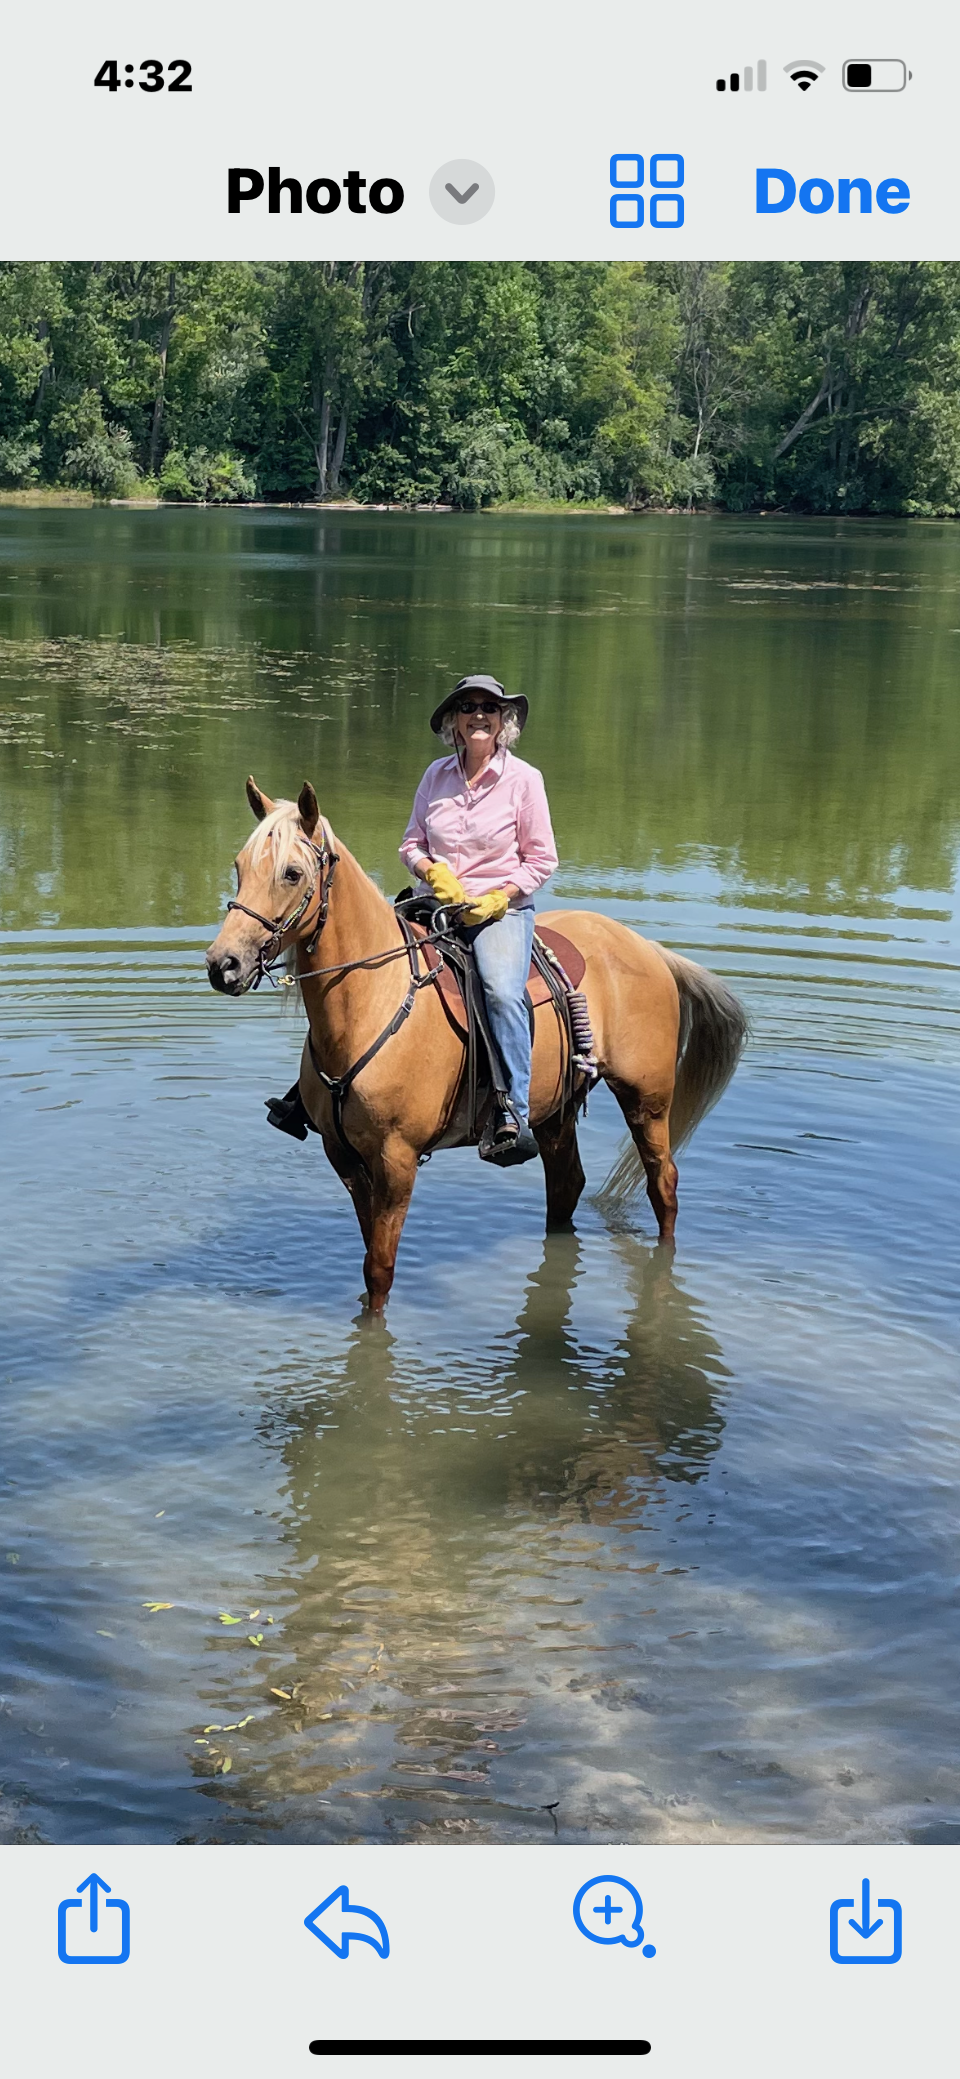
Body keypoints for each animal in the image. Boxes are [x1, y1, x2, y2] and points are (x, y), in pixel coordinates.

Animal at [206, 778, 748, 1313]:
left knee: (664, 1185)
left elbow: (379, 1269)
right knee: (566, 1184)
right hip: (554, 1112)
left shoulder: (397, 1160)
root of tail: (648, 949)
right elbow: (369, 1254)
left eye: (292, 873)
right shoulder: (343, 1156)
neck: (372, 1003)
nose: (223, 964)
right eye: (238, 866)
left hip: (647, 1102)